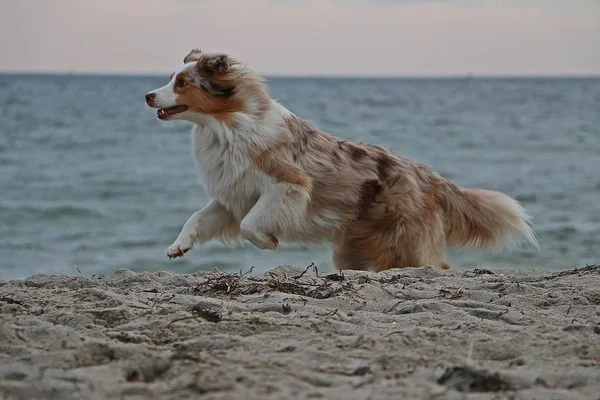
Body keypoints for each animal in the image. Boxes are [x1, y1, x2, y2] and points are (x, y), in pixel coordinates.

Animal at [144, 47, 540, 272]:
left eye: (182, 83)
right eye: (171, 78)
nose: (147, 96)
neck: (227, 125)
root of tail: (429, 175)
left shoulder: (288, 185)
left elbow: (250, 225)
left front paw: (269, 242)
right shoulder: (234, 193)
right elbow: (200, 217)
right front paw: (179, 245)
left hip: (408, 245)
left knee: (434, 264)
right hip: (357, 248)